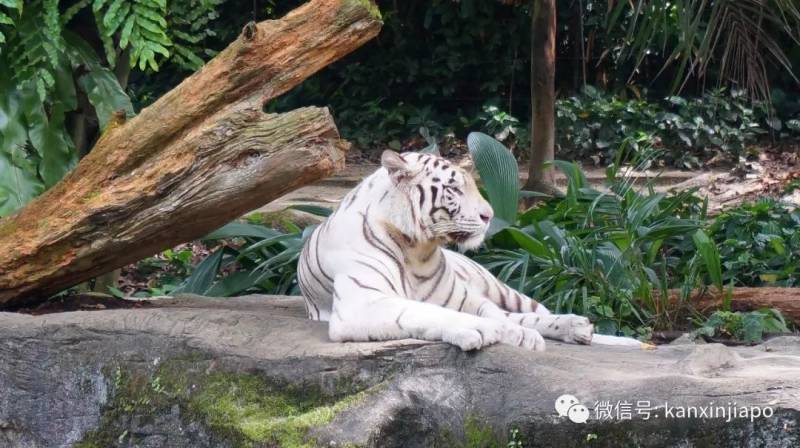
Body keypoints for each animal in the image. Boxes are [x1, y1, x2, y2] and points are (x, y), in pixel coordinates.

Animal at [297, 150, 643, 351]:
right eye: (453, 188)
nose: (490, 215)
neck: (418, 250)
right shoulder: (363, 303)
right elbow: (429, 312)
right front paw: (488, 330)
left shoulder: (465, 298)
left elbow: (497, 315)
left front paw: (519, 334)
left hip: (500, 288)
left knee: (530, 312)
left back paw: (581, 328)